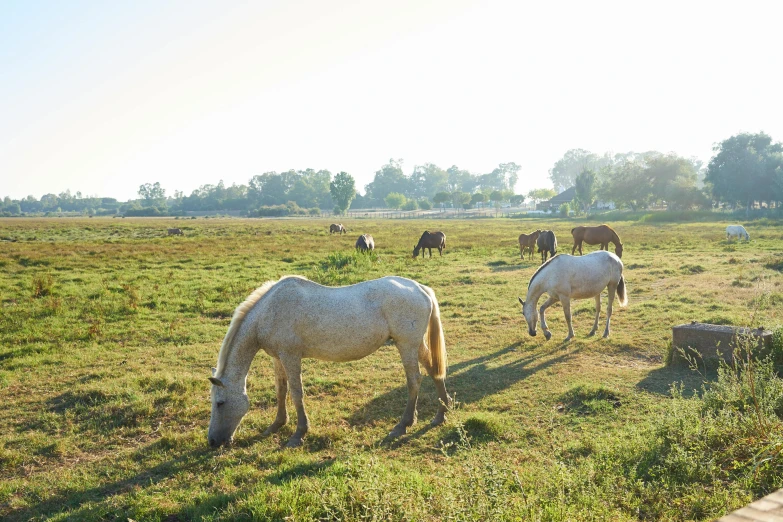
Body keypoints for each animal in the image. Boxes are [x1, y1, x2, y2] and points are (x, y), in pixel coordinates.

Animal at [208, 272, 450, 446]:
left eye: (220, 403)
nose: (212, 441)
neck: (269, 311)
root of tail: (420, 288)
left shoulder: (290, 356)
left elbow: (296, 393)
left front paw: (299, 434)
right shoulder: (278, 357)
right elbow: (281, 390)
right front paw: (276, 424)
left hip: (406, 345)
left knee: (414, 380)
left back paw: (403, 425)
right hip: (415, 344)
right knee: (434, 371)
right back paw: (441, 414)